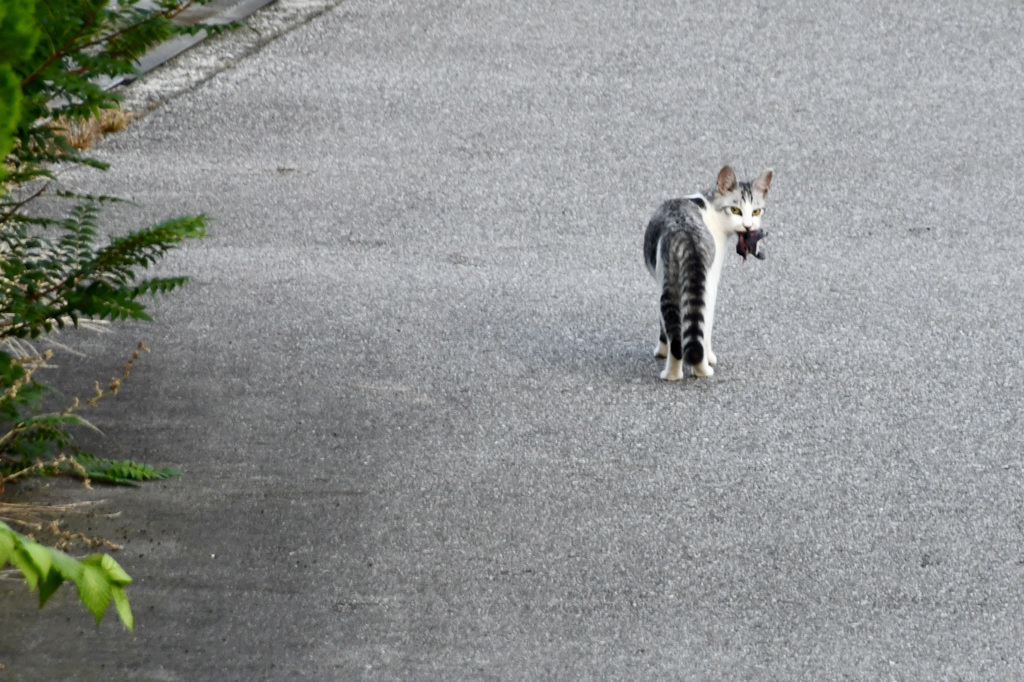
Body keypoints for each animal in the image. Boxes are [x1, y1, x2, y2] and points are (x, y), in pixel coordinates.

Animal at [643, 162, 770, 378]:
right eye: (735, 210)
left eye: (755, 212)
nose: (747, 226)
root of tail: (686, 234)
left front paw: (661, 350)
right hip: (700, 282)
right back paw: (702, 369)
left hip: (669, 281)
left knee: (675, 332)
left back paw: (672, 374)